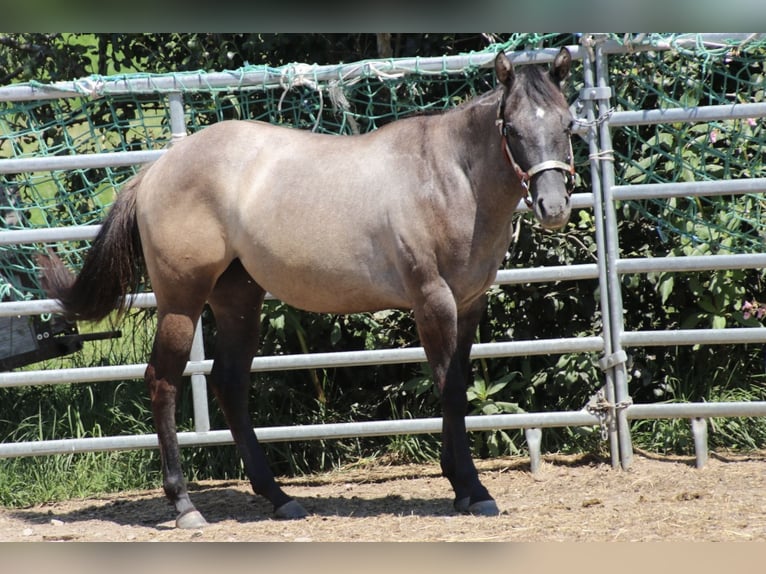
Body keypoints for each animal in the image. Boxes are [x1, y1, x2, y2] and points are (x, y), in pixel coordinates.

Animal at [36, 47, 576, 528]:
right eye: (512, 128)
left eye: (568, 124)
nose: (553, 207)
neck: (449, 178)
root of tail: (155, 171)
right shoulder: (432, 302)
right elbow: (451, 389)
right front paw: (472, 489)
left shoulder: (469, 304)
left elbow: (456, 385)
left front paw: (463, 486)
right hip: (181, 300)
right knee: (163, 381)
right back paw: (185, 506)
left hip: (238, 299)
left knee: (230, 382)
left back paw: (279, 498)